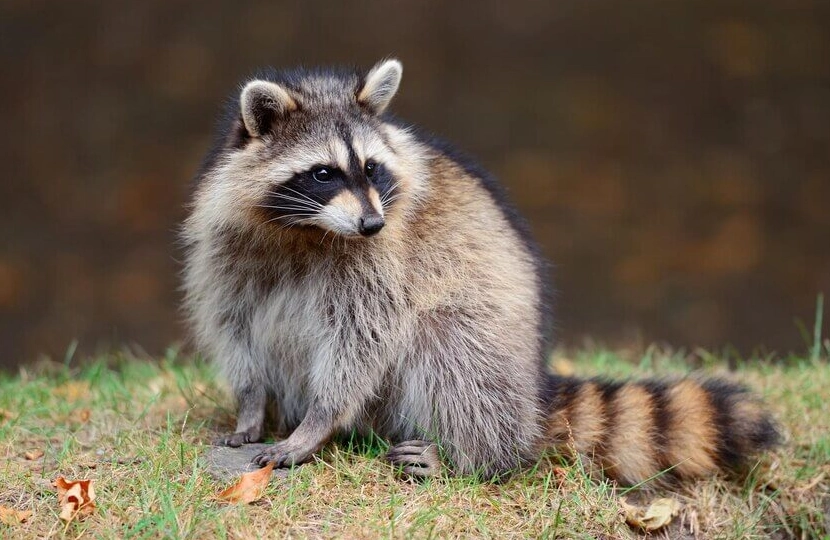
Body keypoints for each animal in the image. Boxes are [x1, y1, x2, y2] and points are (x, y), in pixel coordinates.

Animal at [182, 58, 780, 483]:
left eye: (372, 168)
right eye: (323, 173)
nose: (373, 222)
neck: (308, 229)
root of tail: (534, 389)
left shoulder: (383, 262)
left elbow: (362, 340)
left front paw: (318, 423)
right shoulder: (227, 246)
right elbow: (234, 323)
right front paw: (251, 404)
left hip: (491, 339)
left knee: (453, 350)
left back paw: (473, 456)